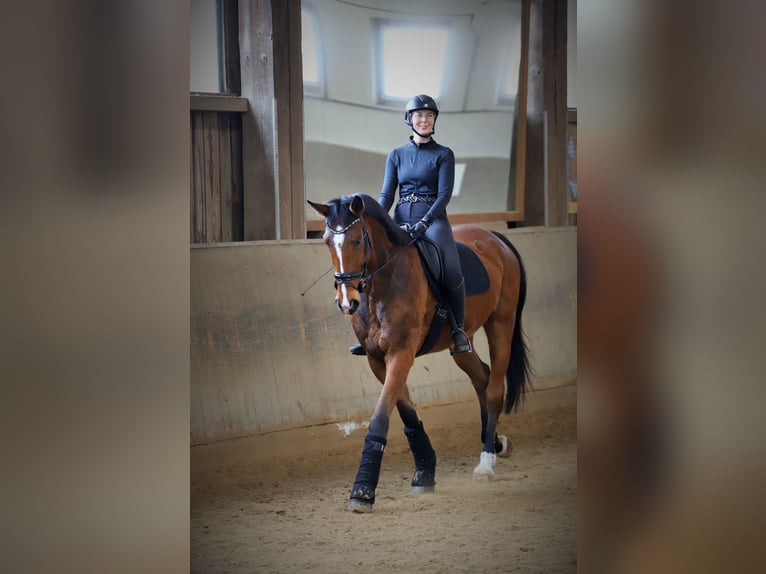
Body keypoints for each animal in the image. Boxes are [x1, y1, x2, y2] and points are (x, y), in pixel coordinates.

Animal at [308, 194, 532, 512]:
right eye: (327, 241)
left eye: (356, 240)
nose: (346, 302)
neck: (381, 284)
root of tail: (494, 237)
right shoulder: (377, 360)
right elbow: (406, 412)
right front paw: (425, 471)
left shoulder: (401, 353)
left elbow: (381, 417)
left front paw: (362, 490)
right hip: (461, 341)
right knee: (482, 376)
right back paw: (497, 441)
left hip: (501, 323)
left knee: (494, 388)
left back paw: (487, 461)